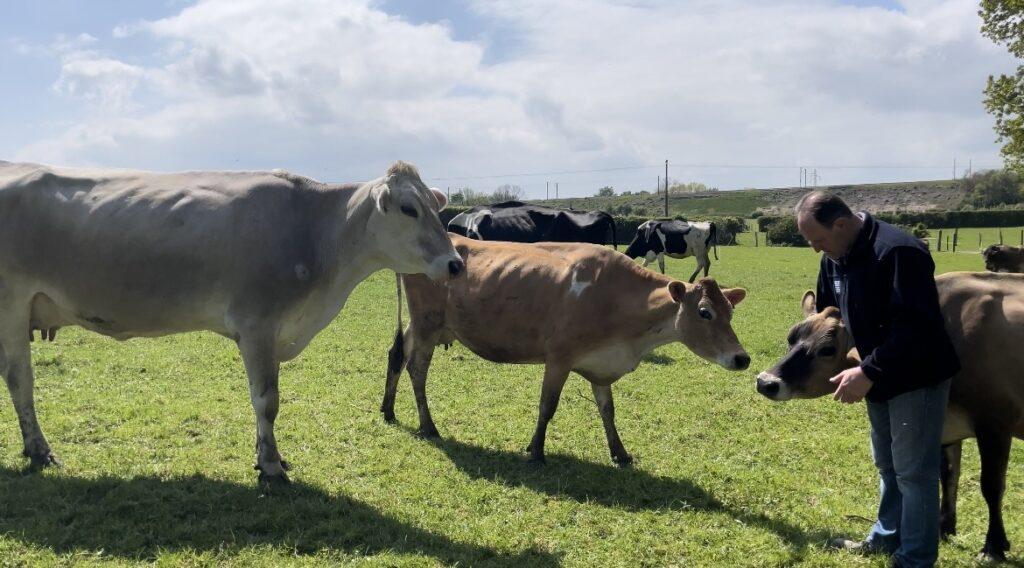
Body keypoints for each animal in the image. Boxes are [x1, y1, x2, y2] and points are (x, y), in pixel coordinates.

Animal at [380, 235, 749, 466]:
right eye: (704, 312)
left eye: (730, 312)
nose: (742, 358)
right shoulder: (558, 357)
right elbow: (548, 405)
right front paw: (536, 450)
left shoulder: (601, 366)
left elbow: (608, 410)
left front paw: (620, 453)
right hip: (427, 324)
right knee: (417, 370)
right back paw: (429, 426)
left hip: (426, 325)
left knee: (396, 355)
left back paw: (388, 410)